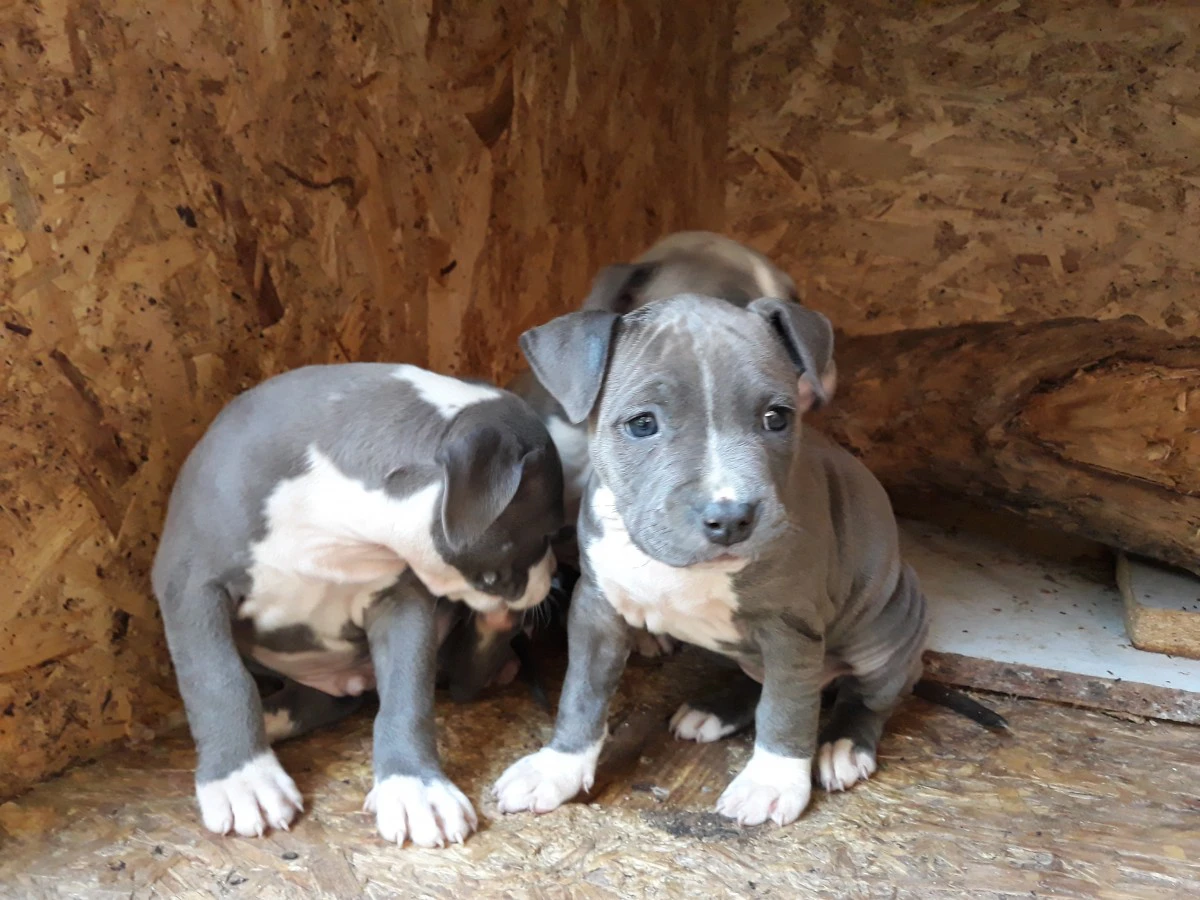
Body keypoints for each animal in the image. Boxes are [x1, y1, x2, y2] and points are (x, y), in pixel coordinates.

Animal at [152, 362, 564, 849]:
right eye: (548, 532)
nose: (553, 572)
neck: (332, 519)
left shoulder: (402, 601)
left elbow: (408, 695)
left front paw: (415, 787)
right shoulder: (191, 586)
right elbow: (218, 680)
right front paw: (243, 779)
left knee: (463, 677)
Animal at [487, 296, 926, 830]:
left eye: (776, 418)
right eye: (642, 423)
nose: (731, 518)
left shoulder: (792, 628)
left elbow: (787, 707)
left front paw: (772, 781)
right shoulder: (597, 609)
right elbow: (581, 693)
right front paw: (558, 767)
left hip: (887, 628)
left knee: (865, 696)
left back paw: (844, 745)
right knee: (759, 678)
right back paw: (713, 710)